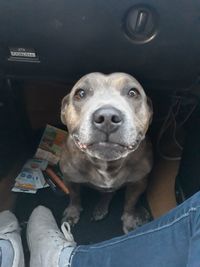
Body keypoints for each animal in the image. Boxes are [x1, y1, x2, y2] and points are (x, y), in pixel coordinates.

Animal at [59, 72, 153, 233]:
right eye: (80, 94)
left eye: (133, 93)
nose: (107, 117)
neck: (106, 164)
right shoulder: (70, 179)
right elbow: (74, 197)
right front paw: (72, 213)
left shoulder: (139, 182)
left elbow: (130, 203)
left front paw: (129, 220)